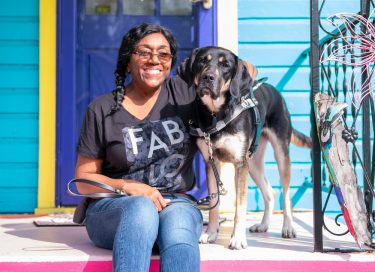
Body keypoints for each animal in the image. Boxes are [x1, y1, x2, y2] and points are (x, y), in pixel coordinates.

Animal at [178, 45, 312, 250]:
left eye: (225, 65)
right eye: (202, 61)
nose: (208, 77)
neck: (216, 114)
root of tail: (273, 90)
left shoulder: (240, 165)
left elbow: (240, 208)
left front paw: (238, 239)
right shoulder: (212, 163)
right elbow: (215, 205)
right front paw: (211, 234)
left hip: (280, 155)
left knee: (286, 194)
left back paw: (288, 227)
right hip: (254, 163)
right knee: (270, 192)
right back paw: (263, 225)